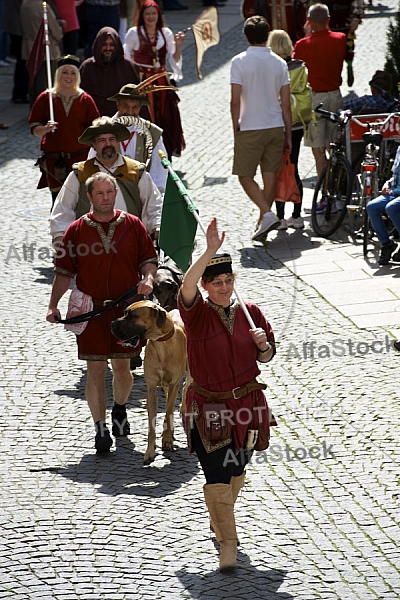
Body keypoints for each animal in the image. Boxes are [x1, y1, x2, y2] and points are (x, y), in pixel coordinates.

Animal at [111, 300, 187, 464]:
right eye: (124, 312)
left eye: (132, 316)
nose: (111, 324)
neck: (161, 343)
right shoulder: (151, 389)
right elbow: (152, 424)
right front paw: (150, 451)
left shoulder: (174, 384)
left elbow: (168, 410)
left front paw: (167, 440)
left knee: (185, 387)